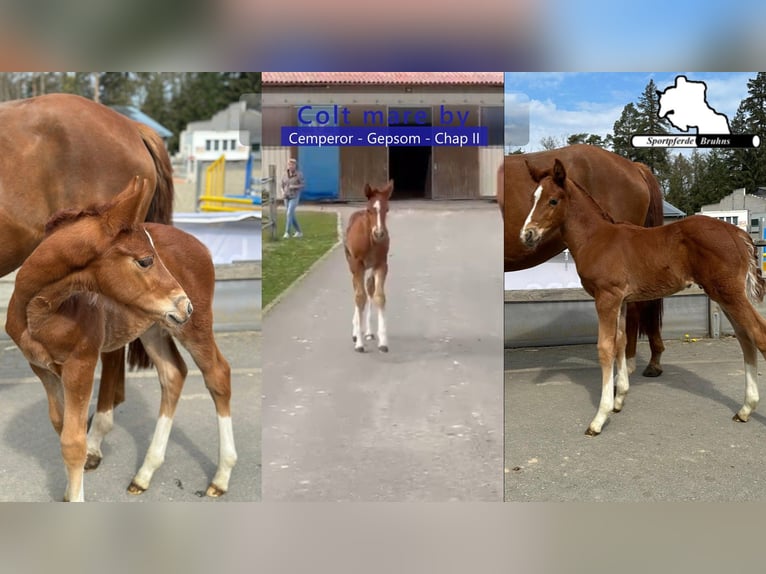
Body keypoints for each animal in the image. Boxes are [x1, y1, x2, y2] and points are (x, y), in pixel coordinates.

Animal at [6, 177, 236, 502]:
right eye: (146, 260)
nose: (184, 305)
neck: (38, 311)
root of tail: (201, 245)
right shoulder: (42, 368)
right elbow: (60, 426)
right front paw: (68, 492)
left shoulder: (81, 364)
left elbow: (74, 443)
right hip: (154, 326)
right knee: (173, 374)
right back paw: (145, 473)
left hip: (194, 327)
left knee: (217, 374)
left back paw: (221, 477)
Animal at [344, 180, 393, 353]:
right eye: (369, 210)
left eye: (387, 209)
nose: (379, 233)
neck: (370, 240)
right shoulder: (357, 264)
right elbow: (359, 297)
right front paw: (359, 342)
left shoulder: (381, 264)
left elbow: (379, 296)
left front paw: (383, 341)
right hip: (353, 265)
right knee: (357, 291)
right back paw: (355, 332)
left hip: (369, 268)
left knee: (369, 289)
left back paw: (369, 332)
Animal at [520, 158, 766, 436]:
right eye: (533, 197)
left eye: (553, 200)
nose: (527, 235)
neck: (595, 238)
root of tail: (739, 234)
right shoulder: (621, 300)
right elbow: (620, 341)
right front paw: (619, 399)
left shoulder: (606, 297)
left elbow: (605, 347)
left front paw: (599, 417)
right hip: (724, 295)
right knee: (745, 339)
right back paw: (745, 409)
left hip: (730, 293)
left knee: (758, 334)